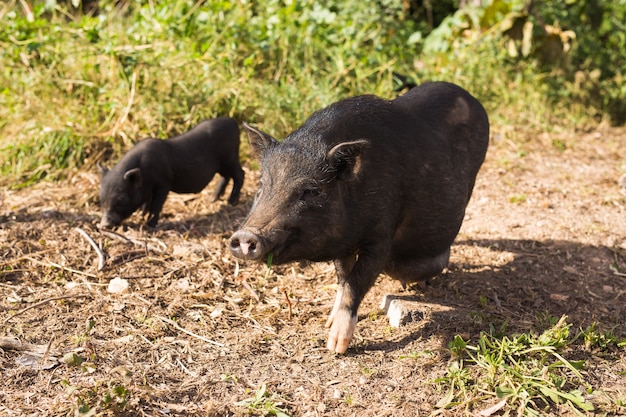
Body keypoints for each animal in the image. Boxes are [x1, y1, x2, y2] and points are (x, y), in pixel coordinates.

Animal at [98, 117, 243, 228]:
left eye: (122, 198)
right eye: (101, 198)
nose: (104, 225)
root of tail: (233, 122)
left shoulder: (164, 183)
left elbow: (156, 204)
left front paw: (150, 225)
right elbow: (147, 200)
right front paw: (141, 214)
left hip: (230, 158)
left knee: (240, 174)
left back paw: (231, 202)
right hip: (222, 165)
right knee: (226, 176)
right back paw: (213, 199)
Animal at [228, 80, 488, 352]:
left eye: (310, 191)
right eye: (262, 185)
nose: (245, 235)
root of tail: (469, 96)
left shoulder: (382, 237)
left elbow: (356, 284)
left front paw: (336, 347)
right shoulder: (342, 244)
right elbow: (343, 279)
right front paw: (328, 323)